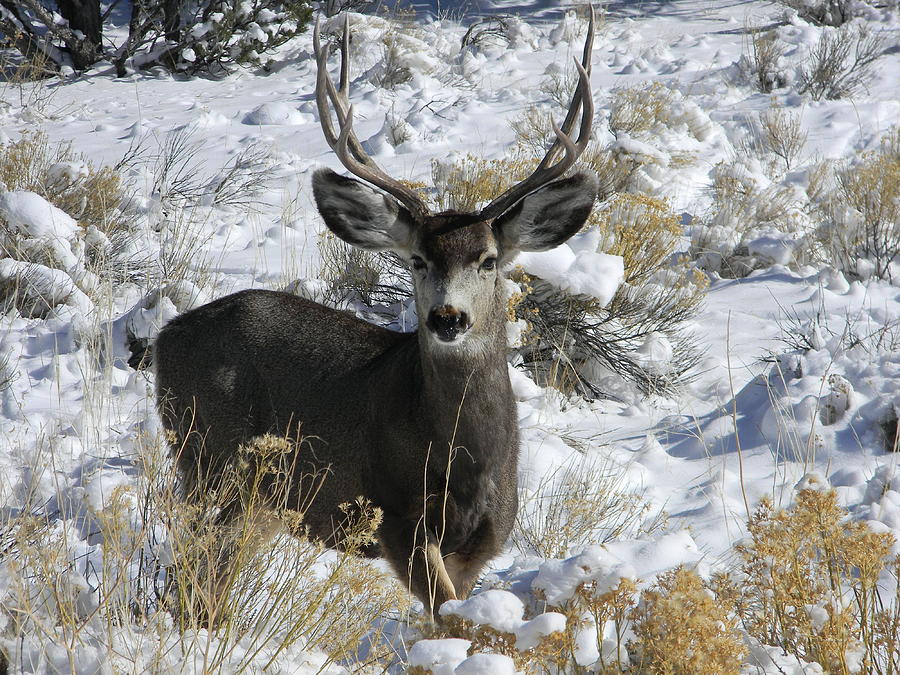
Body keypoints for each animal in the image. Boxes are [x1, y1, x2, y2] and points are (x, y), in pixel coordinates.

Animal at [155, 10, 596, 624]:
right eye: (416, 259)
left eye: (488, 260)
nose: (448, 318)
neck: (466, 461)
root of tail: (163, 337)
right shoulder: (397, 521)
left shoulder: (482, 542)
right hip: (208, 460)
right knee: (191, 564)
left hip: (260, 499)